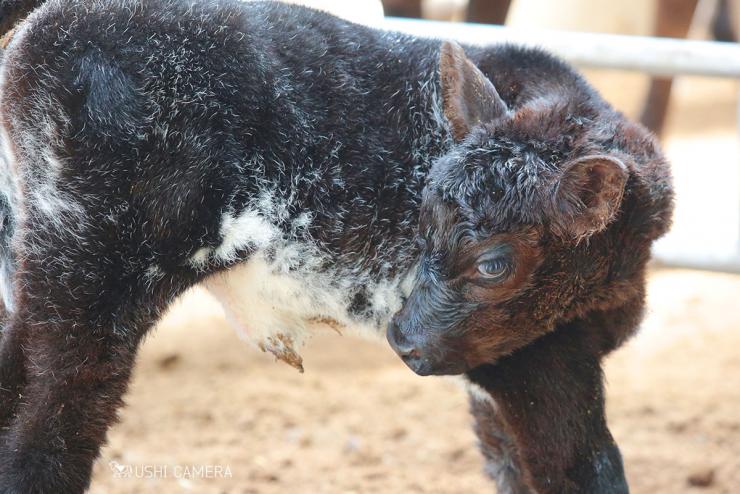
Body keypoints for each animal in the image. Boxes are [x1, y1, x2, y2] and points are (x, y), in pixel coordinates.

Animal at [0, 0, 672, 494]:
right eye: (422, 220)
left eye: (492, 263)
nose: (403, 338)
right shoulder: (540, 363)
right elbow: (586, 467)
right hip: (91, 275)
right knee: (54, 420)